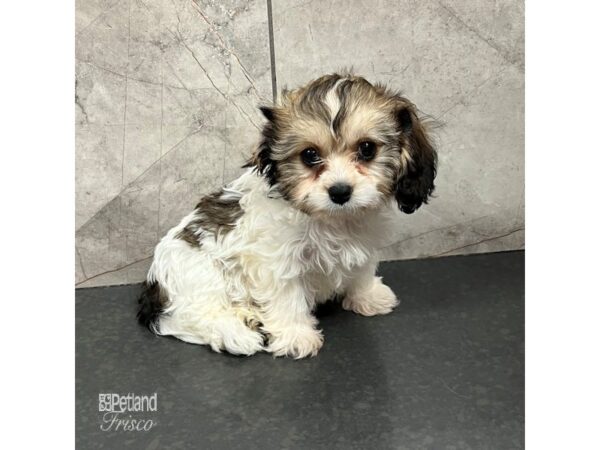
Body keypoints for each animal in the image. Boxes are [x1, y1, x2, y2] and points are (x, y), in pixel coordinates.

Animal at [138, 73, 438, 358]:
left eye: (367, 149)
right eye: (310, 155)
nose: (340, 191)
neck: (333, 220)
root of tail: (155, 282)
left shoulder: (364, 241)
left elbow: (361, 270)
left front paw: (368, 297)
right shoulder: (277, 260)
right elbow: (286, 298)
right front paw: (297, 337)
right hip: (201, 275)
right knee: (186, 317)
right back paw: (236, 334)